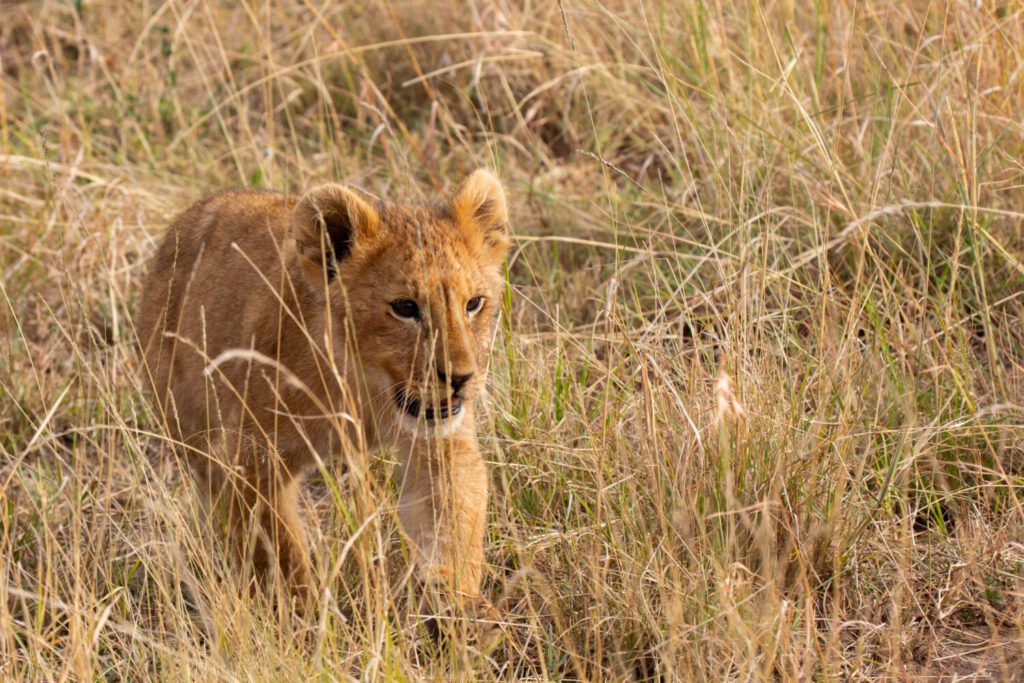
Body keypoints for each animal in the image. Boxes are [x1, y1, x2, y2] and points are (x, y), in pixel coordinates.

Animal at [137, 169, 510, 624]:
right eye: (405, 307)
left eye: (474, 304)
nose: (459, 378)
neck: (364, 386)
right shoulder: (252, 456)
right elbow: (280, 550)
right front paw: (308, 617)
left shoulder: (440, 442)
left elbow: (453, 521)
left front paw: (457, 608)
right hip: (189, 425)